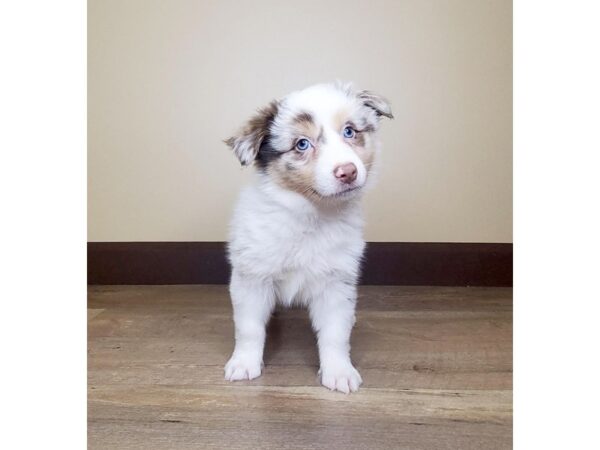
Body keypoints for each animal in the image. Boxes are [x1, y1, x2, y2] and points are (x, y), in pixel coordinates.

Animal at [223, 82, 392, 392]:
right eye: (302, 144)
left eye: (349, 131)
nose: (348, 172)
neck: (309, 214)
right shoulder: (251, 277)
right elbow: (249, 328)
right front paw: (244, 363)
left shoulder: (336, 283)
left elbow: (335, 334)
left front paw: (339, 371)